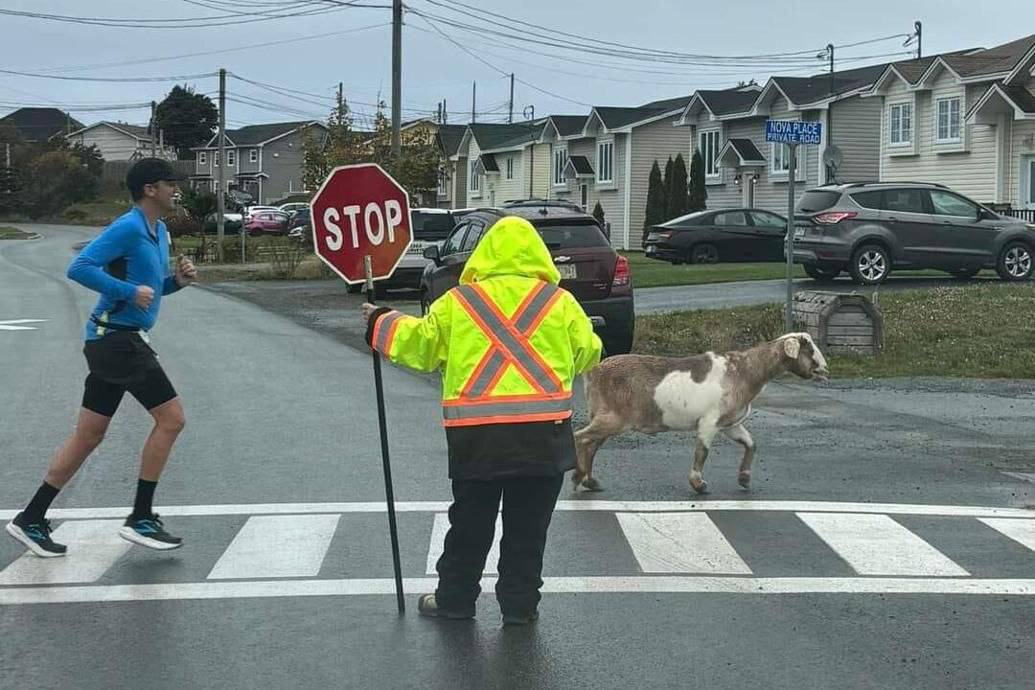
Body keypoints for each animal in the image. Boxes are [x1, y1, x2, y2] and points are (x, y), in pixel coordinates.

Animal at [571, 331, 828, 494]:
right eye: (809, 349)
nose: (825, 369)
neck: (745, 371)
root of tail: (593, 371)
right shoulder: (709, 421)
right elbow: (702, 452)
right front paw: (698, 484)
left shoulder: (730, 423)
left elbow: (750, 444)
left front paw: (744, 477)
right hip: (612, 417)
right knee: (580, 437)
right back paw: (577, 476)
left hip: (605, 415)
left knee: (591, 444)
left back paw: (590, 481)